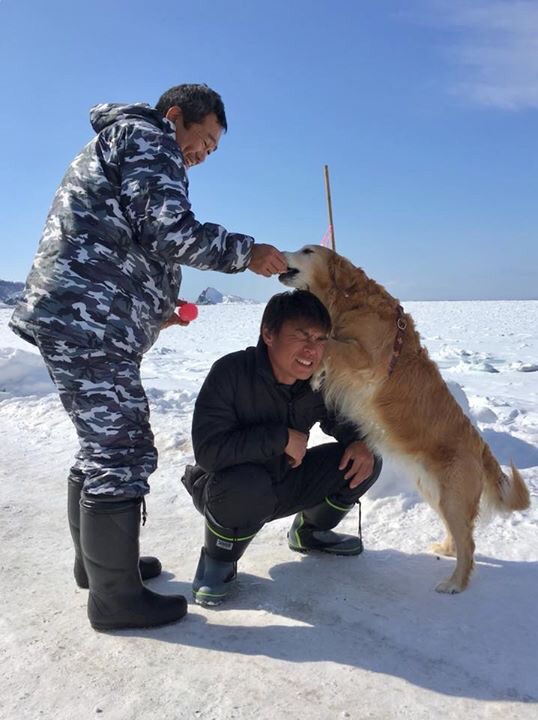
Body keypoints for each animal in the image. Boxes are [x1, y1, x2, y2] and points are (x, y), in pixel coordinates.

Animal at [278, 245, 528, 592]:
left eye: (307, 250)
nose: (278, 251)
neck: (349, 300)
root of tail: (480, 446)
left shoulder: (364, 357)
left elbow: (327, 343)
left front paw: (316, 371)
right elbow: (324, 346)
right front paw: (316, 375)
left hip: (452, 497)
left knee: (469, 543)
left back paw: (455, 582)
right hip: (435, 493)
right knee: (458, 534)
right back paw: (445, 549)